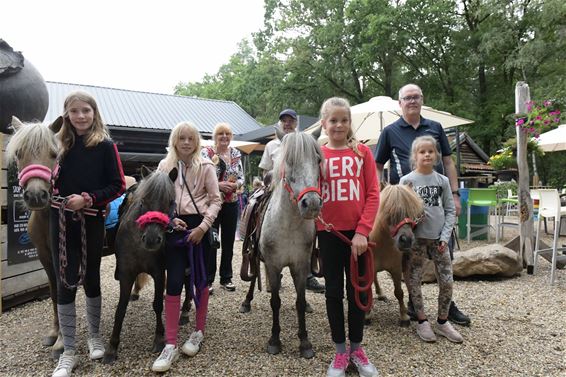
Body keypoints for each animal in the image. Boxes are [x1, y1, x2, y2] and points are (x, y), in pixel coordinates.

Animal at [370, 184, 424, 324]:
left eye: (412, 213)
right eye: (389, 212)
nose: (407, 240)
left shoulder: (396, 269)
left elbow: (399, 292)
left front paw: (404, 316)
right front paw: (367, 315)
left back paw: (381, 294)